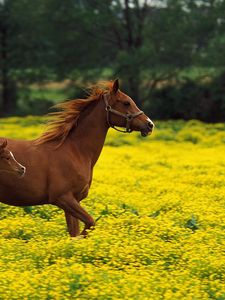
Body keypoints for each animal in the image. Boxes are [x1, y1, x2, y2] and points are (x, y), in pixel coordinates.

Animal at [0, 79, 153, 237]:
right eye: (126, 103)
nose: (149, 124)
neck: (75, 151)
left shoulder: (74, 200)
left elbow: (76, 231)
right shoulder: (63, 198)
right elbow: (89, 224)